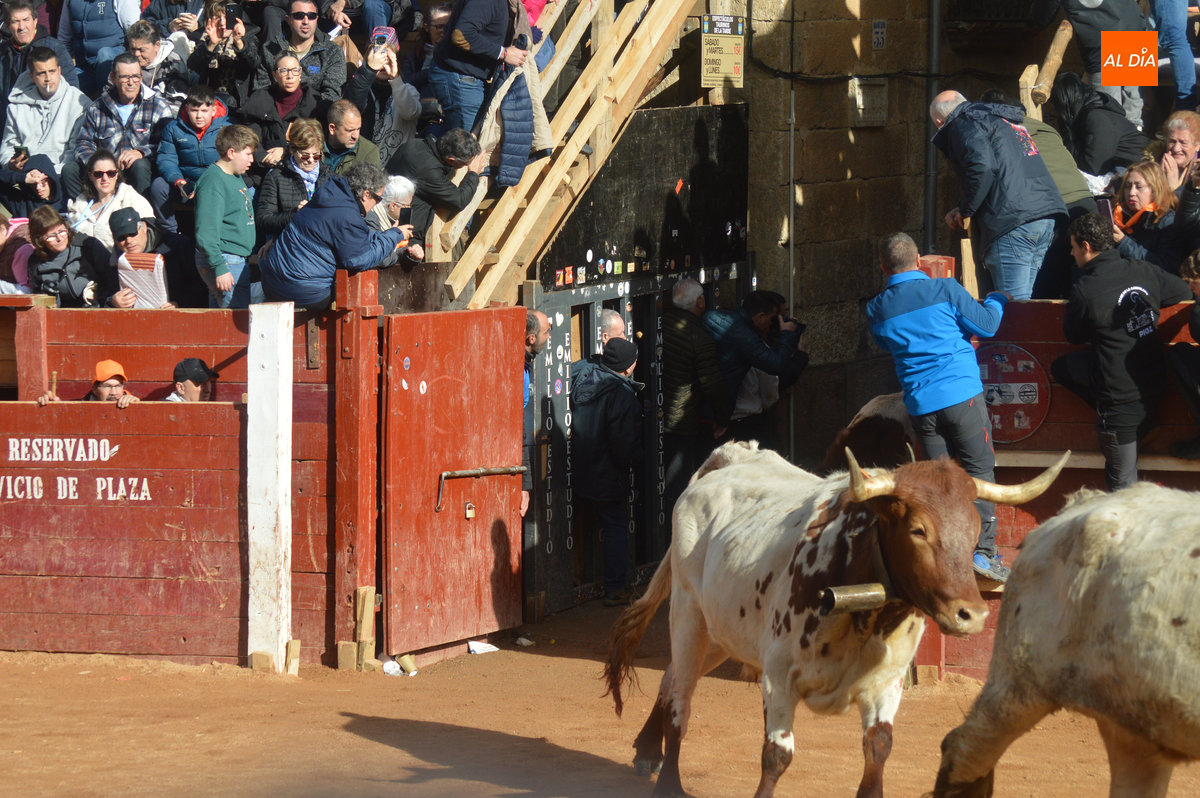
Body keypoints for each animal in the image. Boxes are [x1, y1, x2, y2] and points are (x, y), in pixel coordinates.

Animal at [604, 440, 1068, 798]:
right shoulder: (778, 677)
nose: (971, 614)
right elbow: (776, 756)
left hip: (722, 633)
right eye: (918, 530)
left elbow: (878, 747)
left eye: (974, 531)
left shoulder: (887, 682)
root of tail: (734, 455)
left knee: (671, 678)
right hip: (688, 615)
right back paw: (668, 781)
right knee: (681, 696)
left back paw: (648, 749)